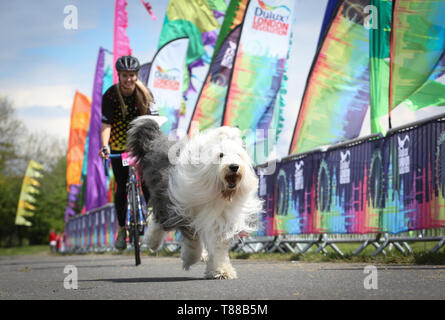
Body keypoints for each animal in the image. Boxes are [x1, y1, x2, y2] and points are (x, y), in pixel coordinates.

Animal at [126, 116, 262, 278]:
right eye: (221, 155)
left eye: (238, 155)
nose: (234, 166)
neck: (216, 191)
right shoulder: (184, 210)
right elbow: (192, 240)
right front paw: (190, 259)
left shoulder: (221, 218)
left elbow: (217, 246)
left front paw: (221, 270)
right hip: (165, 198)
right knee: (159, 220)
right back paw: (152, 241)